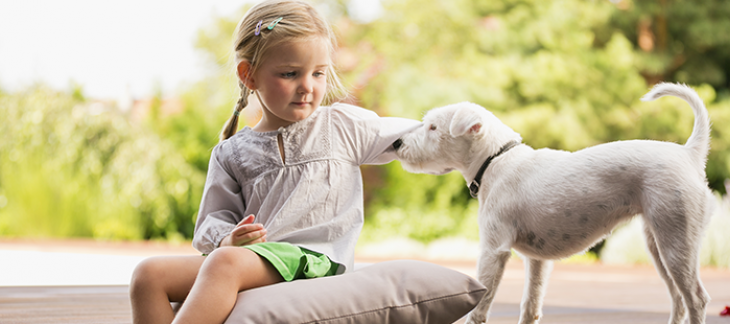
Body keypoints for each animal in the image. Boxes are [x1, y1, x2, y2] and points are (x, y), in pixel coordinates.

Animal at [392, 83, 712, 324]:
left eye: (433, 127)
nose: (396, 143)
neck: (496, 160)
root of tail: (689, 153)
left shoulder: (493, 250)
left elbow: (480, 307)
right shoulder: (537, 261)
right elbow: (530, 306)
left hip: (676, 242)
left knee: (696, 298)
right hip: (658, 245)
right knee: (679, 299)